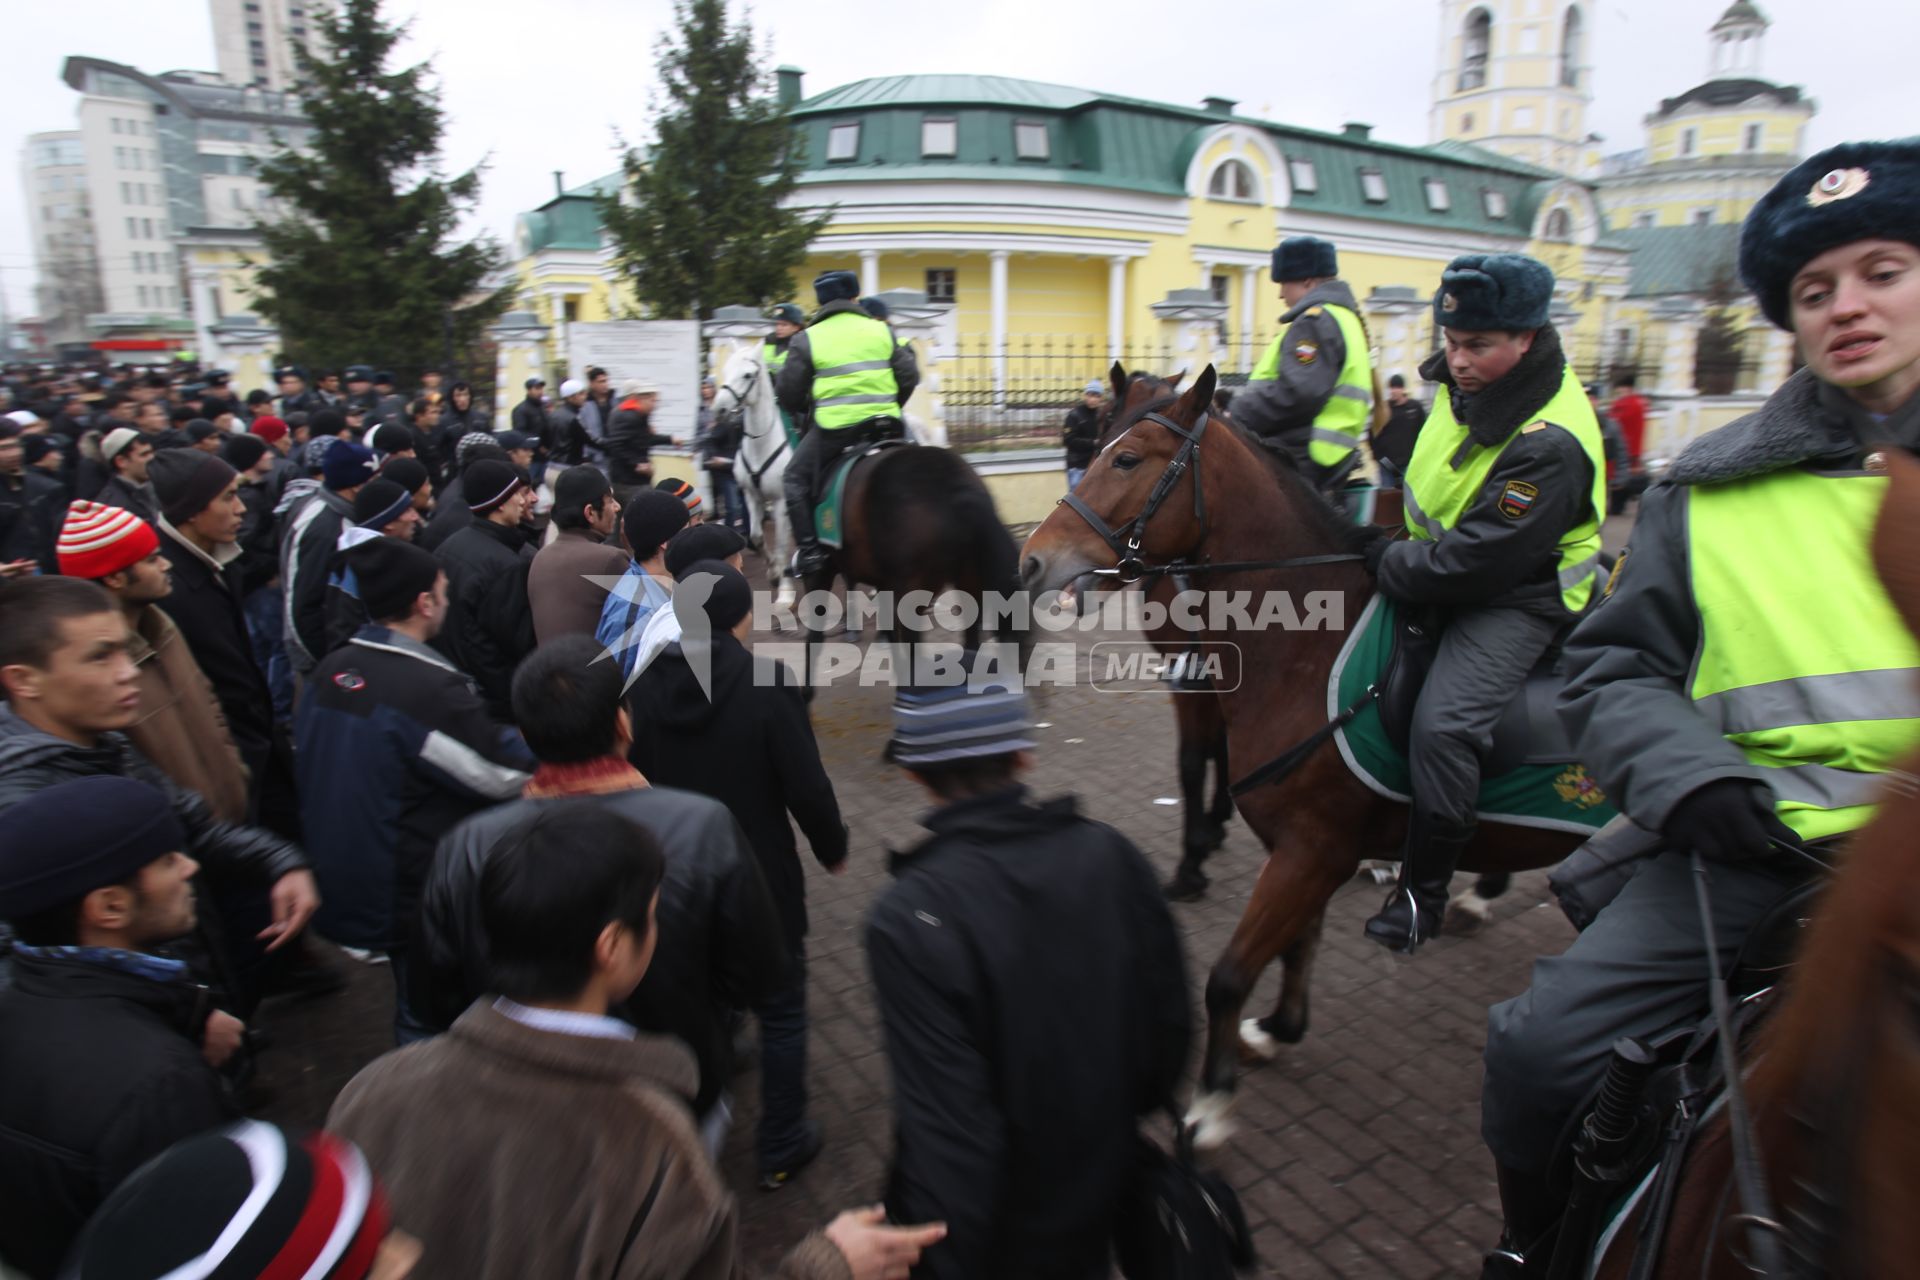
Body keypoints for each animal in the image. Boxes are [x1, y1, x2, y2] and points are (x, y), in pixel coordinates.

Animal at [714, 343, 794, 610]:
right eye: (725, 370)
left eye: (748, 375)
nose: (719, 409)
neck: (762, 443)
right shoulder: (751, 496)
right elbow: (757, 537)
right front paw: (774, 572)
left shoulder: (781, 502)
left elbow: (781, 545)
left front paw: (785, 592)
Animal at [1029, 364, 1582, 1143]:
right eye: (1101, 435)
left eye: (1128, 457)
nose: (1032, 559)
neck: (1313, 642)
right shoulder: (1306, 844)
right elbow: (1295, 940)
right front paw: (1278, 1027)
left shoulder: (1306, 840)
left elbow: (1229, 969)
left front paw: (1209, 1104)